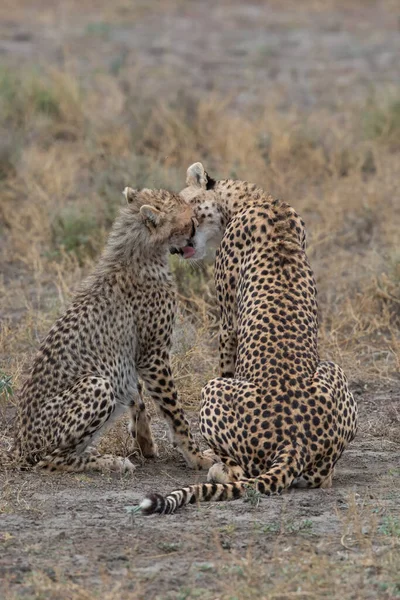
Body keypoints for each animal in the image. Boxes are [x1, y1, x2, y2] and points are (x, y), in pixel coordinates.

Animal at [13, 188, 212, 474]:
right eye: (188, 221)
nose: (197, 233)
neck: (139, 252)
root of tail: (19, 446)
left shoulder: (134, 356)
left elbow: (137, 398)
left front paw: (145, 444)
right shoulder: (154, 356)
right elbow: (175, 412)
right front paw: (197, 457)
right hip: (97, 384)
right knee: (49, 460)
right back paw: (110, 461)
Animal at [140, 164, 356, 516]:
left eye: (185, 213)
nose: (174, 248)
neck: (254, 199)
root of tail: (294, 441)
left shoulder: (228, 325)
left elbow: (227, 362)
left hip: (212, 390)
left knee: (240, 472)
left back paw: (216, 466)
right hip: (333, 371)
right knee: (322, 477)